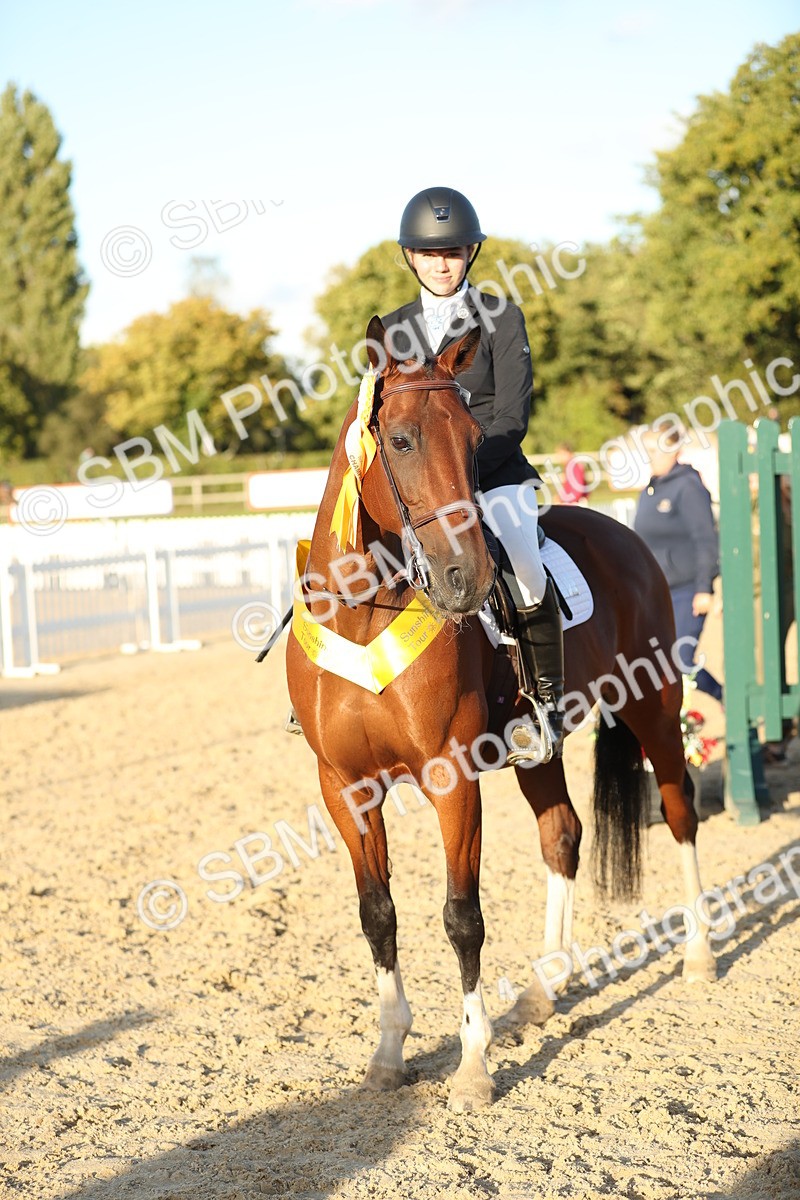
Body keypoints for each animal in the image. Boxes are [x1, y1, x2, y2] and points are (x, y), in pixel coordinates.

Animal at [285, 317, 717, 1112]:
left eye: (471, 437)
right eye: (400, 440)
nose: (467, 578)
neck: (365, 612)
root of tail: (625, 532)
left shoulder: (451, 780)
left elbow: (462, 917)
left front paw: (472, 1068)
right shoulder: (345, 787)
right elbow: (377, 912)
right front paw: (388, 1054)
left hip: (654, 706)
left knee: (680, 812)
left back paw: (700, 953)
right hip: (540, 748)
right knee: (564, 836)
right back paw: (545, 991)